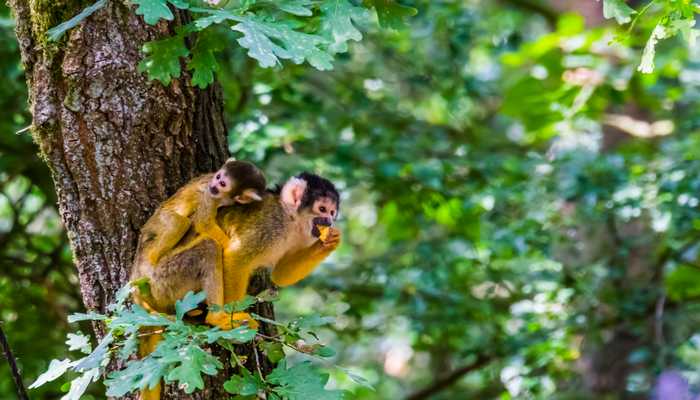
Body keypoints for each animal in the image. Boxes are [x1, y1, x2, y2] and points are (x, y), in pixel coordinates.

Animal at [136, 158, 266, 268]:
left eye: (222, 184)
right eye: (217, 177)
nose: (212, 186)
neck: (225, 198)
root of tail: (145, 228)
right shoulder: (209, 195)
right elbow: (204, 223)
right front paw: (230, 248)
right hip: (158, 219)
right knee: (179, 223)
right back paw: (153, 258)